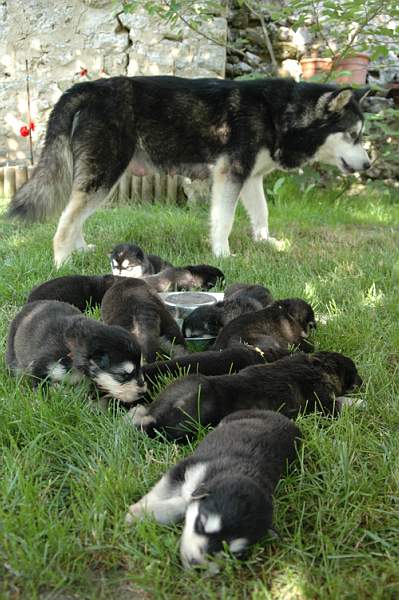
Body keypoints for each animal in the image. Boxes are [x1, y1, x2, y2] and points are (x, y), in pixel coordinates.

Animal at [5, 300, 146, 404]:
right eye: (123, 375)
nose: (143, 392)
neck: (72, 349)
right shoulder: (40, 367)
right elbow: (40, 389)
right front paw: (42, 403)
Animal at [8, 75, 372, 268]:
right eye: (353, 135)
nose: (368, 164)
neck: (278, 114)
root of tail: (88, 87)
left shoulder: (251, 178)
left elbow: (261, 214)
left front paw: (266, 242)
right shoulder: (230, 174)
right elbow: (223, 220)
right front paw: (223, 254)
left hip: (101, 178)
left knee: (74, 217)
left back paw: (80, 249)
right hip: (104, 175)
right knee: (65, 221)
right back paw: (62, 261)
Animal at [126, 410, 302, 568]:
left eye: (232, 553)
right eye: (201, 525)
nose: (197, 565)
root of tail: (287, 420)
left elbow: (182, 504)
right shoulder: (188, 469)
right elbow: (163, 491)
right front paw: (137, 512)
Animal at [130, 352, 364, 440]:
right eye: (354, 371)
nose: (362, 381)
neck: (316, 366)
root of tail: (153, 419)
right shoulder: (323, 405)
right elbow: (341, 403)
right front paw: (360, 402)